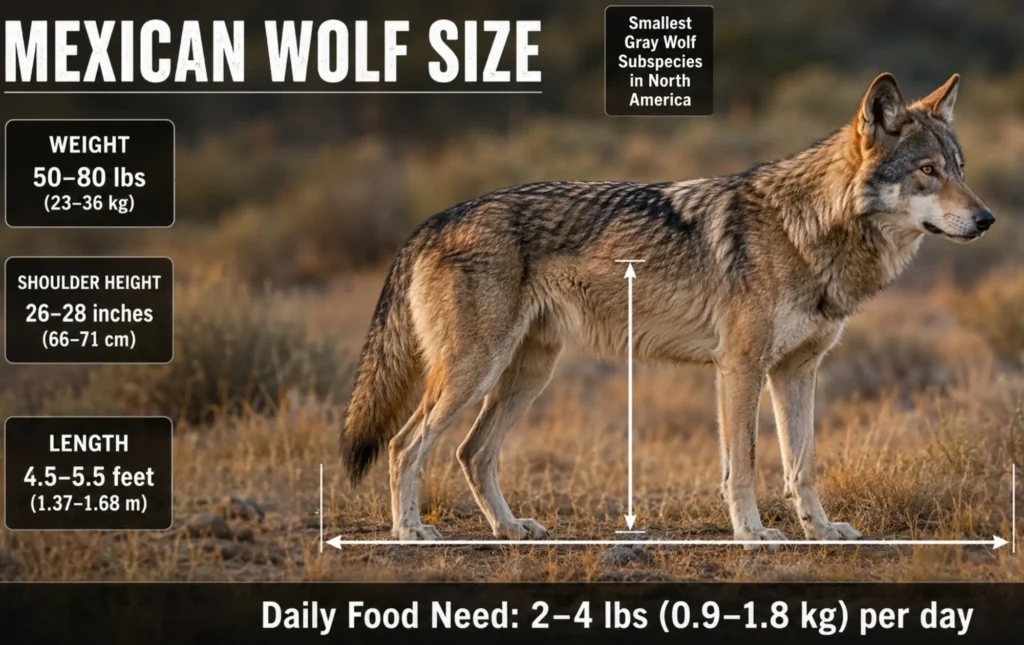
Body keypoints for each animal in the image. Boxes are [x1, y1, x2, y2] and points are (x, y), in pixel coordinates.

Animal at [340, 73, 994, 548]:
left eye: (960, 168)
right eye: (927, 171)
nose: (986, 219)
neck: (807, 229)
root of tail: (432, 221)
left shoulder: (797, 371)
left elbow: (801, 464)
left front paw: (822, 531)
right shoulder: (740, 368)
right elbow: (744, 464)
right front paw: (753, 534)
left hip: (527, 373)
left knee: (471, 453)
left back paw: (508, 529)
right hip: (474, 371)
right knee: (405, 446)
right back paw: (410, 531)